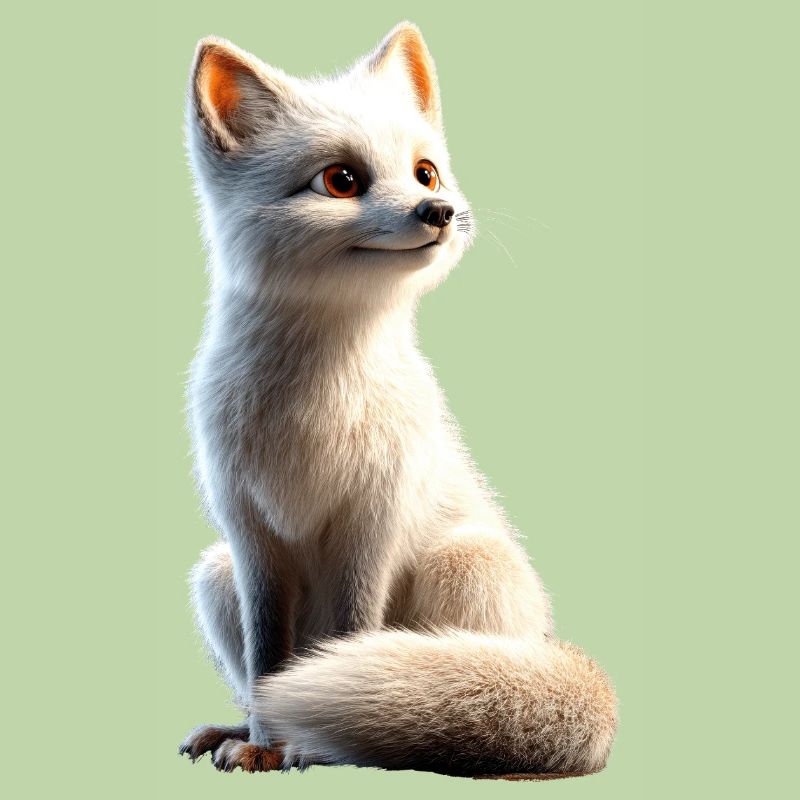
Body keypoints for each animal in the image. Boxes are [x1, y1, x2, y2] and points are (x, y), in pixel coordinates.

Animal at [179, 22, 617, 778]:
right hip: (215, 575)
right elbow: (269, 661)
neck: (313, 408)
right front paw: (263, 741)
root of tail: (547, 640)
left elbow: (352, 634)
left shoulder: (373, 517)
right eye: (341, 179)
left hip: (463, 564)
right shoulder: (250, 533)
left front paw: (309, 747)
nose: (437, 212)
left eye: (425, 172)